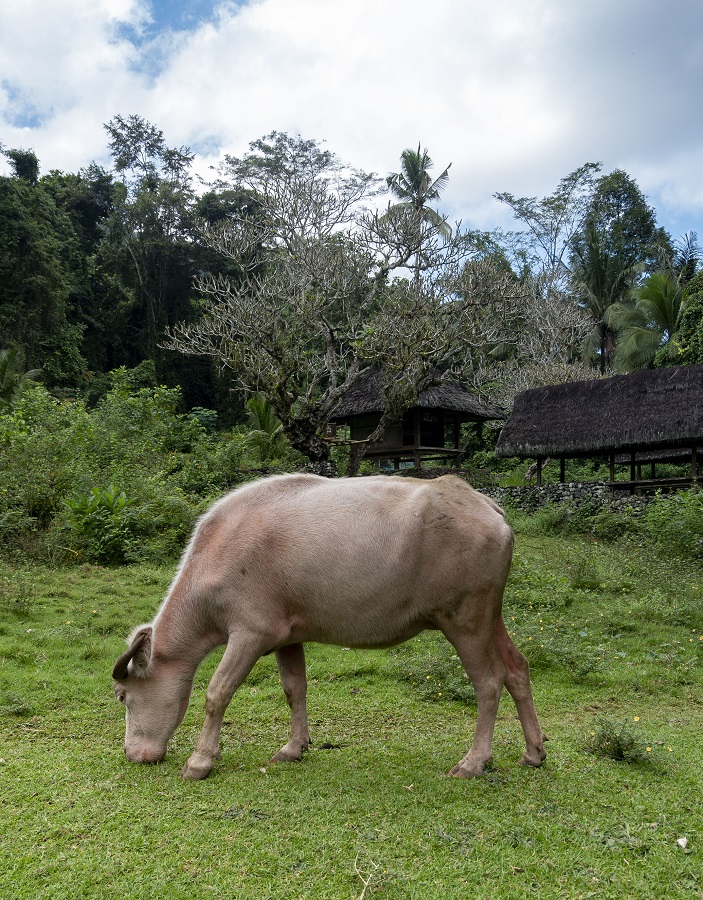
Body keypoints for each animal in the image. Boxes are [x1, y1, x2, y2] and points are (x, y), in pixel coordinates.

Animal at [113, 474, 548, 776]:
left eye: (122, 695)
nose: (133, 754)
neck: (220, 548)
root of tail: (485, 505)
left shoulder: (250, 635)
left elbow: (217, 692)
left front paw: (201, 760)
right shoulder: (286, 637)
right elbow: (294, 688)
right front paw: (294, 747)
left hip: (466, 622)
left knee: (488, 682)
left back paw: (474, 761)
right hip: (490, 618)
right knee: (517, 668)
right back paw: (534, 752)